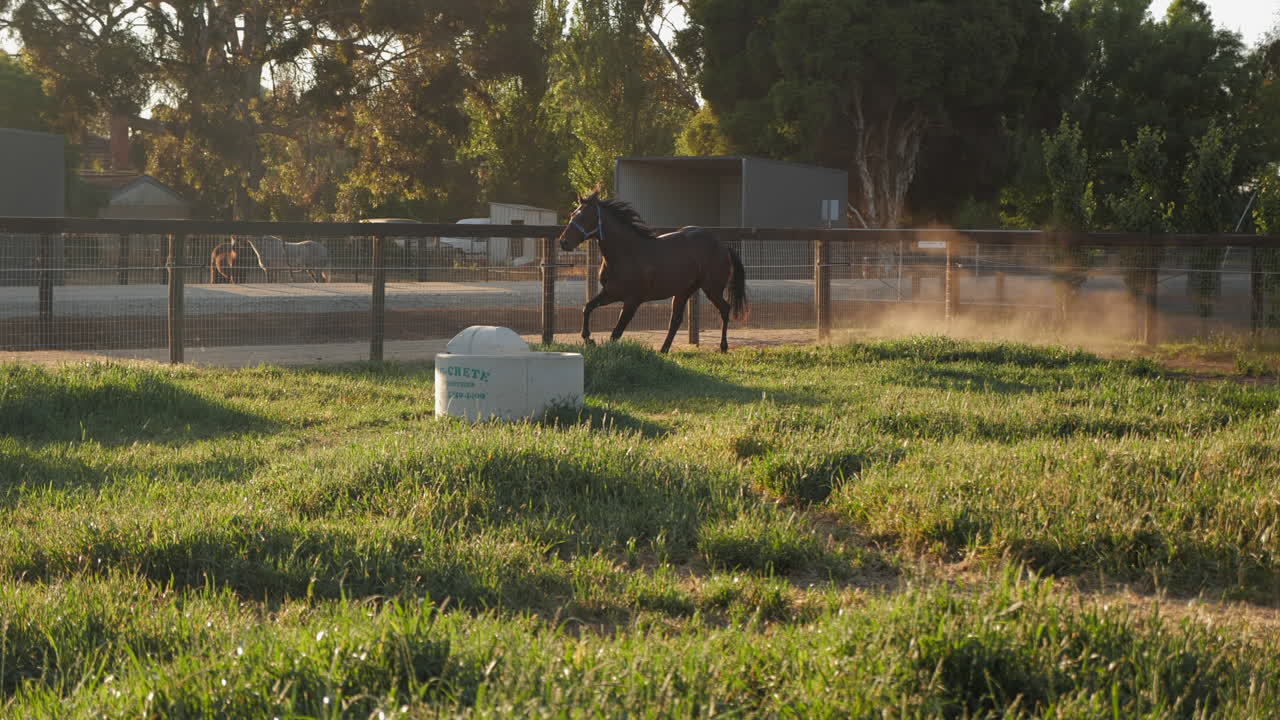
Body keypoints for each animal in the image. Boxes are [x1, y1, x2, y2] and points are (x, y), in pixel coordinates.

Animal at [558, 189, 747, 353]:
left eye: (584, 216)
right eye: (573, 214)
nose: (563, 242)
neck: (626, 253)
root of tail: (722, 245)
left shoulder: (632, 301)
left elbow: (616, 333)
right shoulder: (611, 293)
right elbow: (587, 307)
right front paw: (588, 338)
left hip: (712, 289)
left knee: (725, 309)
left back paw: (723, 347)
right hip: (683, 292)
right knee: (676, 320)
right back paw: (663, 350)